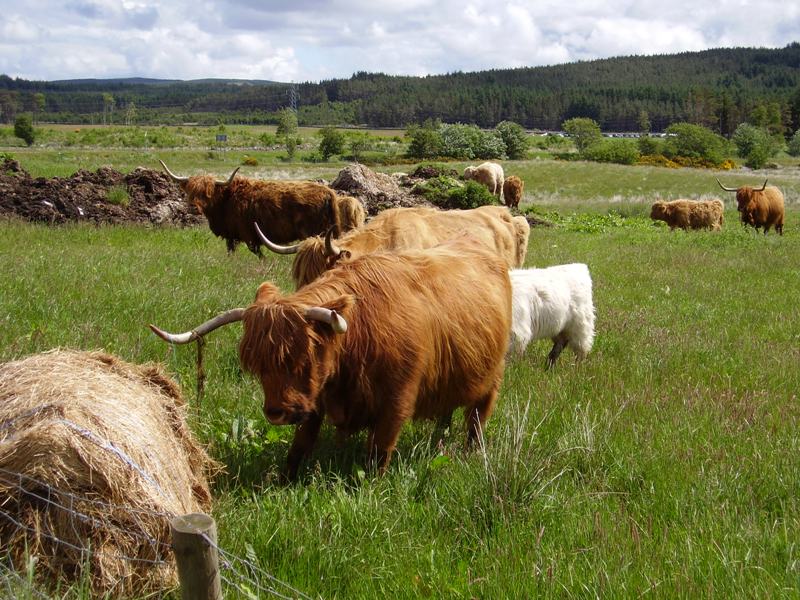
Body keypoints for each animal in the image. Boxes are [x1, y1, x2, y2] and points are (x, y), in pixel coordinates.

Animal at [150, 237, 512, 480]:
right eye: (259, 367)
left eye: (301, 359)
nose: (276, 412)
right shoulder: (316, 397)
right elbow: (301, 442)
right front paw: (285, 479)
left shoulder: (398, 398)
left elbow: (379, 451)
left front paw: (372, 486)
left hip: (493, 377)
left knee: (477, 417)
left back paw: (470, 451)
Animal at [160, 159, 366, 255]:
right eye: (190, 191)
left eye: (207, 192)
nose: (193, 208)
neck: (226, 201)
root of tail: (328, 192)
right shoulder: (231, 236)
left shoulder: (250, 236)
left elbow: (259, 254)